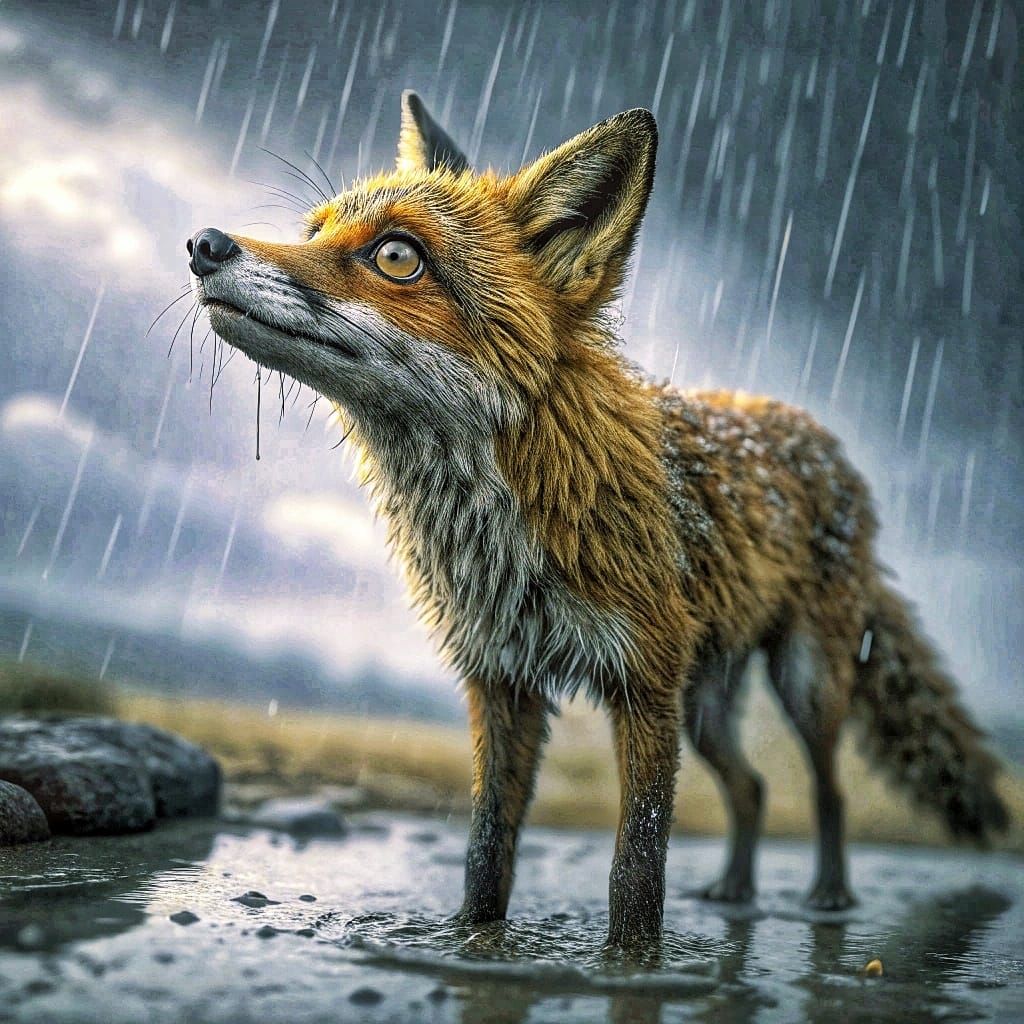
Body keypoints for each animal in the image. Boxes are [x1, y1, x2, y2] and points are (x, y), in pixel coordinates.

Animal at [187, 91, 1008, 949]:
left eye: (397, 256)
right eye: (313, 231)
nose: (204, 245)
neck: (505, 528)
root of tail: (828, 447)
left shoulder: (642, 679)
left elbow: (637, 866)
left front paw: (633, 960)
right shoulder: (503, 677)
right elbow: (487, 849)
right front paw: (475, 941)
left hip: (805, 681)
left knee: (827, 789)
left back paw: (829, 898)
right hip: (705, 705)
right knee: (750, 788)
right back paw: (736, 895)